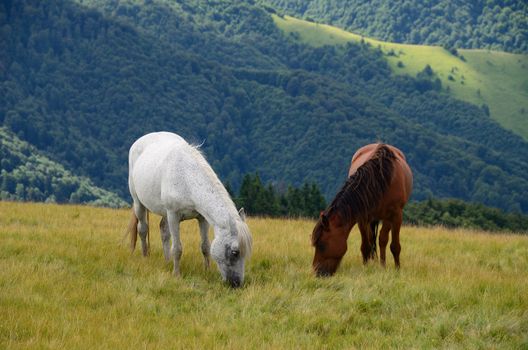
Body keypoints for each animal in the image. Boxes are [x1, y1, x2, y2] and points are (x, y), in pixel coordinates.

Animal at [127, 131, 253, 288]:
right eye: (235, 252)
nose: (236, 284)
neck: (187, 178)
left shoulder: (202, 218)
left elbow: (205, 246)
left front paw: (206, 271)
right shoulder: (173, 215)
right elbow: (177, 248)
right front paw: (176, 274)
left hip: (164, 213)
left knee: (164, 230)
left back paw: (167, 261)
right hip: (139, 203)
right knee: (143, 229)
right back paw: (145, 257)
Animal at [312, 143, 414, 276]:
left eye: (322, 245)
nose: (317, 272)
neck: (380, 181)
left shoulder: (396, 216)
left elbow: (394, 246)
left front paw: (397, 270)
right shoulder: (362, 217)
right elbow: (366, 246)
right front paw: (365, 268)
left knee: (383, 239)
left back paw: (383, 265)